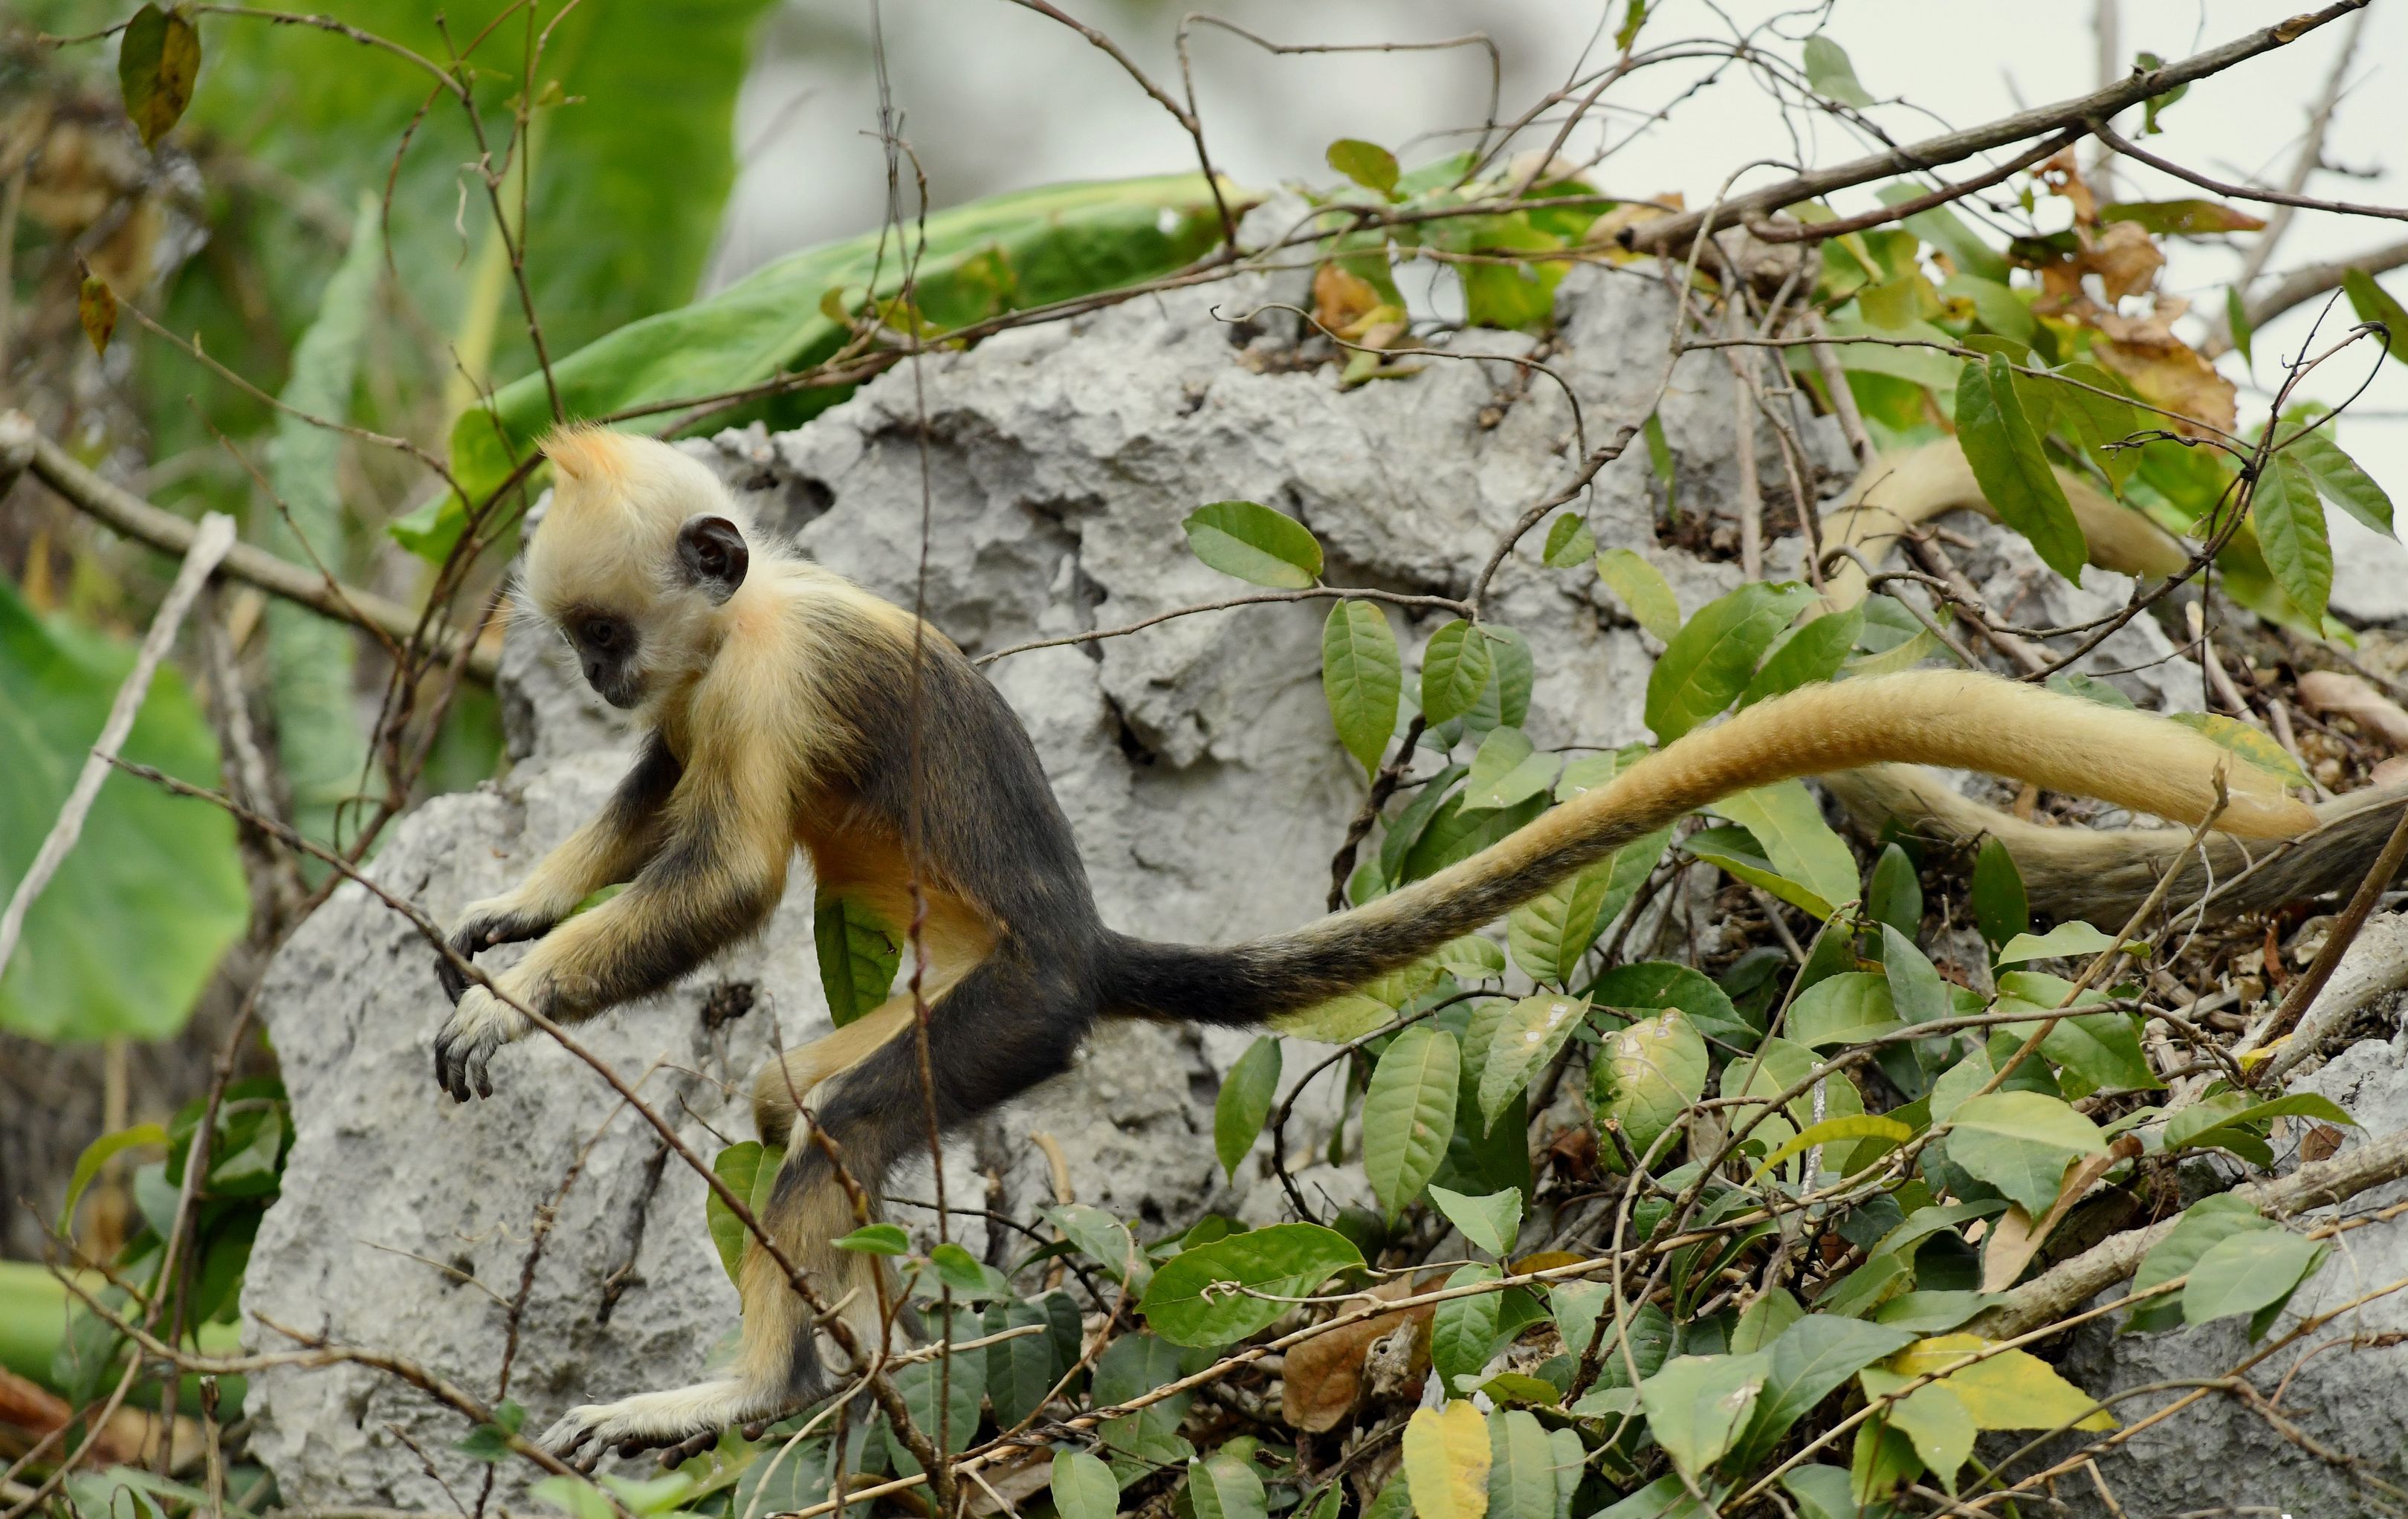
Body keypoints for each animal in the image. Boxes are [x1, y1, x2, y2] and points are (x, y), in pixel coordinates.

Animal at [433, 426, 2311, 1463]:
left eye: (601, 634)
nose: (598, 673)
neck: (747, 611)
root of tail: (1086, 950)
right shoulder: (705, 701)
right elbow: (648, 810)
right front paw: (505, 922)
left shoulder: (768, 681)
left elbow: (730, 875)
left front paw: (515, 1002)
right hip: (956, 993)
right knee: (788, 1110)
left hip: (1009, 1007)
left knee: (827, 1125)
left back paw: (754, 1402)